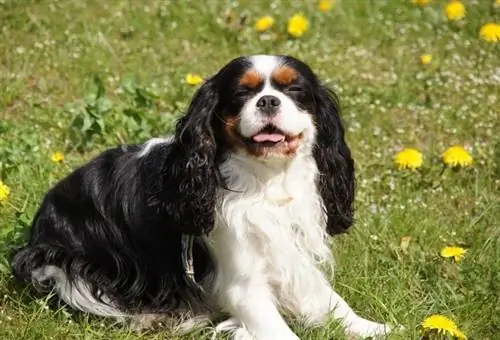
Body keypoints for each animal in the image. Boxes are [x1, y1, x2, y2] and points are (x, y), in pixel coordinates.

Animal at [10, 54, 394, 338]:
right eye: (242, 94)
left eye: (295, 90)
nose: (269, 100)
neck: (266, 180)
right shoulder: (242, 284)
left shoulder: (292, 254)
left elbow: (330, 300)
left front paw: (372, 327)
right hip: (66, 265)